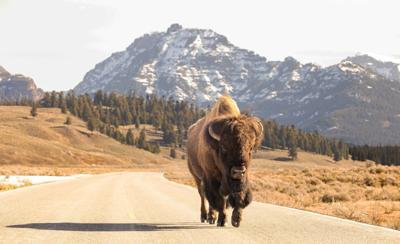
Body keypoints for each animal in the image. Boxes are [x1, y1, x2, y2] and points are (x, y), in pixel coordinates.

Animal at [187, 95, 264, 227]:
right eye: (224, 147)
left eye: (250, 148)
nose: (238, 171)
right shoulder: (211, 176)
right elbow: (220, 197)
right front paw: (222, 220)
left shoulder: (241, 179)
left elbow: (238, 195)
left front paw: (236, 220)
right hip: (196, 176)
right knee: (203, 194)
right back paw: (206, 216)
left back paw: (212, 217)